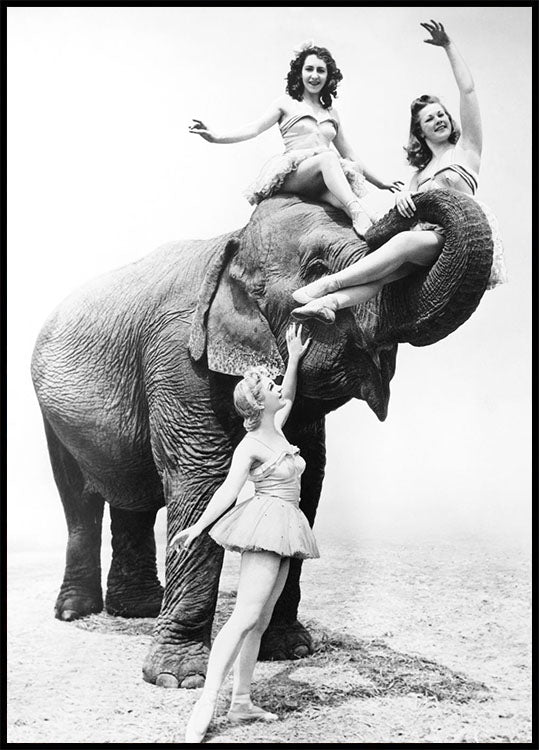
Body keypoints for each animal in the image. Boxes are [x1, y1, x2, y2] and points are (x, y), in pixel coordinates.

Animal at [31, 189, 493, 689]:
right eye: (316, 267)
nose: (404, 207)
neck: (232, 244)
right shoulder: (178, 357)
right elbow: (203, 481)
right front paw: (180, 679)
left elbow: (309, 481)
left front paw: (291, 649)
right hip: (51, 416)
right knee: (79, 500)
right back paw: (77, 612)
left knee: (133, 497)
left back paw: (140, 610)